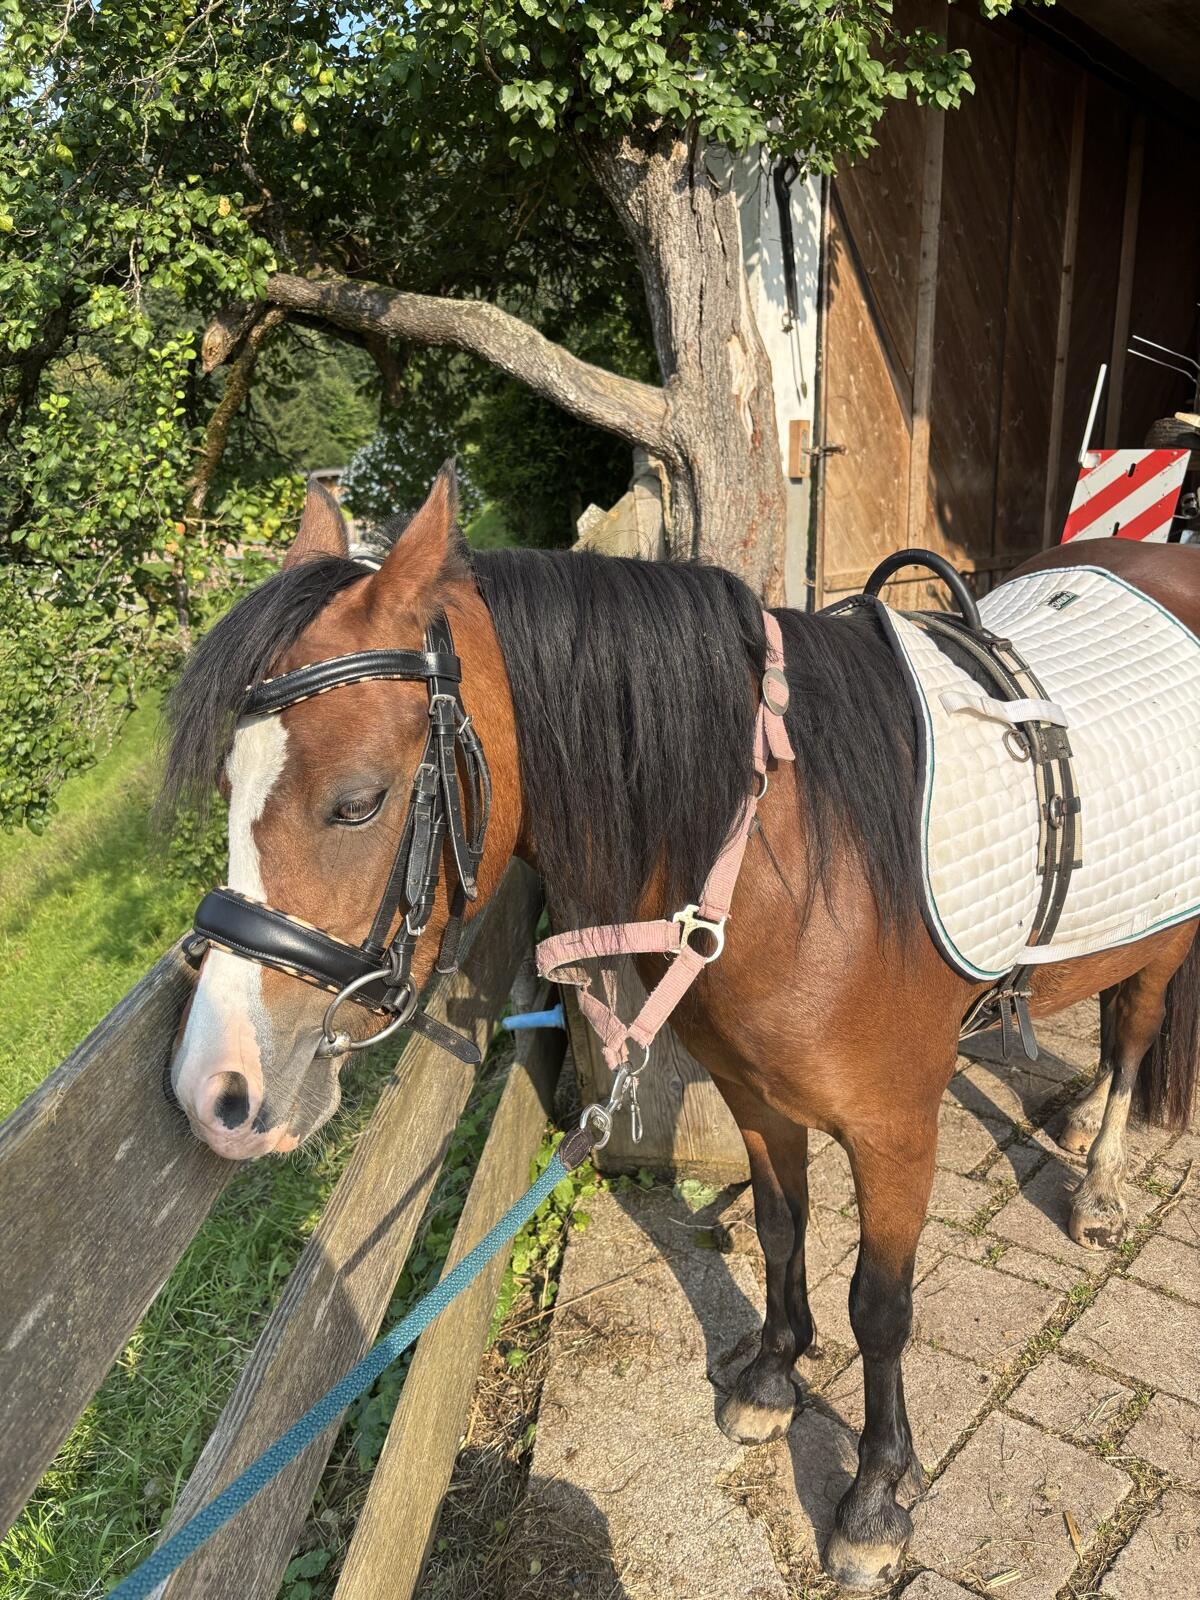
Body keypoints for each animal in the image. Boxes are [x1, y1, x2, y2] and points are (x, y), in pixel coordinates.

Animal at [161, 468, 1200, 1591]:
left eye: (356, 803)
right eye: (227, 789)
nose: (216, 1089)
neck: (788, 852)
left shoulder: (894, 1131)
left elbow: (881, 1307)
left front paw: (876, 1498)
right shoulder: (754, 1091)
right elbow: (782, 1227)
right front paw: (772, 1378)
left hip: (1168, 939)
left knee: (1133, 1029)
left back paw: (1098, 1181)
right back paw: (1075, 1114)